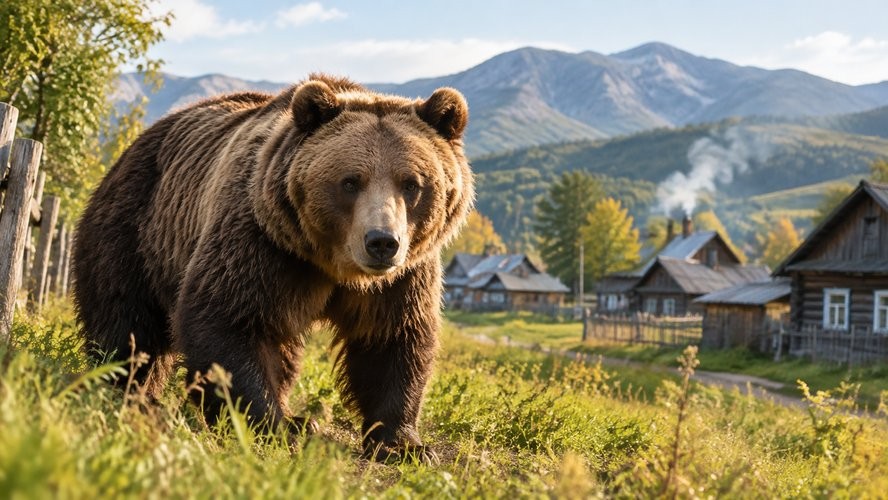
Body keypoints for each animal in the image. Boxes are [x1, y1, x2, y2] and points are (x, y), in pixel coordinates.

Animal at [72, 74, 473, 462]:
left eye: (412, 183)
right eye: (350, 181)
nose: (382, 242)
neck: (332, 264)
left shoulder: (402, 276)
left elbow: (392, 338)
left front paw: (405, 445)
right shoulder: (264, 242)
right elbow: (229, 319)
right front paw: (269, 426)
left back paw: (300, 418)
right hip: (139, 227)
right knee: (127, 319)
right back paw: (128, 389)